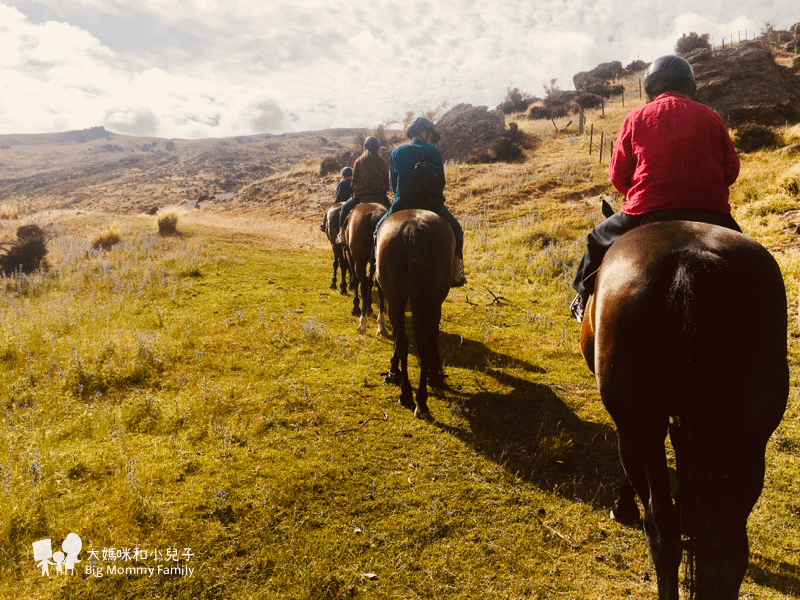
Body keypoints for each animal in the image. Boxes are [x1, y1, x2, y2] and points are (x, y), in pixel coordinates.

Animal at [344, 203, 388, 336]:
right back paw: (381, 324)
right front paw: (369, 306)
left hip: (359, 261)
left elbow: (356, 281)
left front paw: (356, 306)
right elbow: (370, 281)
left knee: (362, 284)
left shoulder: (350, 256)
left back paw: (362, 322)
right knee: (378, 284)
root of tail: (375, 214)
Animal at [376, 209, 454, 420]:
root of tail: (412, 229)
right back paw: (422, 400)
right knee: (423, 342)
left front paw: (393, 371)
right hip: (428, 299)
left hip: (396, 297)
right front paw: (435, 374)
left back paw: (407, 394)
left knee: (403, 342)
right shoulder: (435, 304)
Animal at [580, 219, 792, 600]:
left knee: (661, 530)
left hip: (639, 425)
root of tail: (691, 262)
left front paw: (624, 506)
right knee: (731, 547)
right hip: (748, 438)